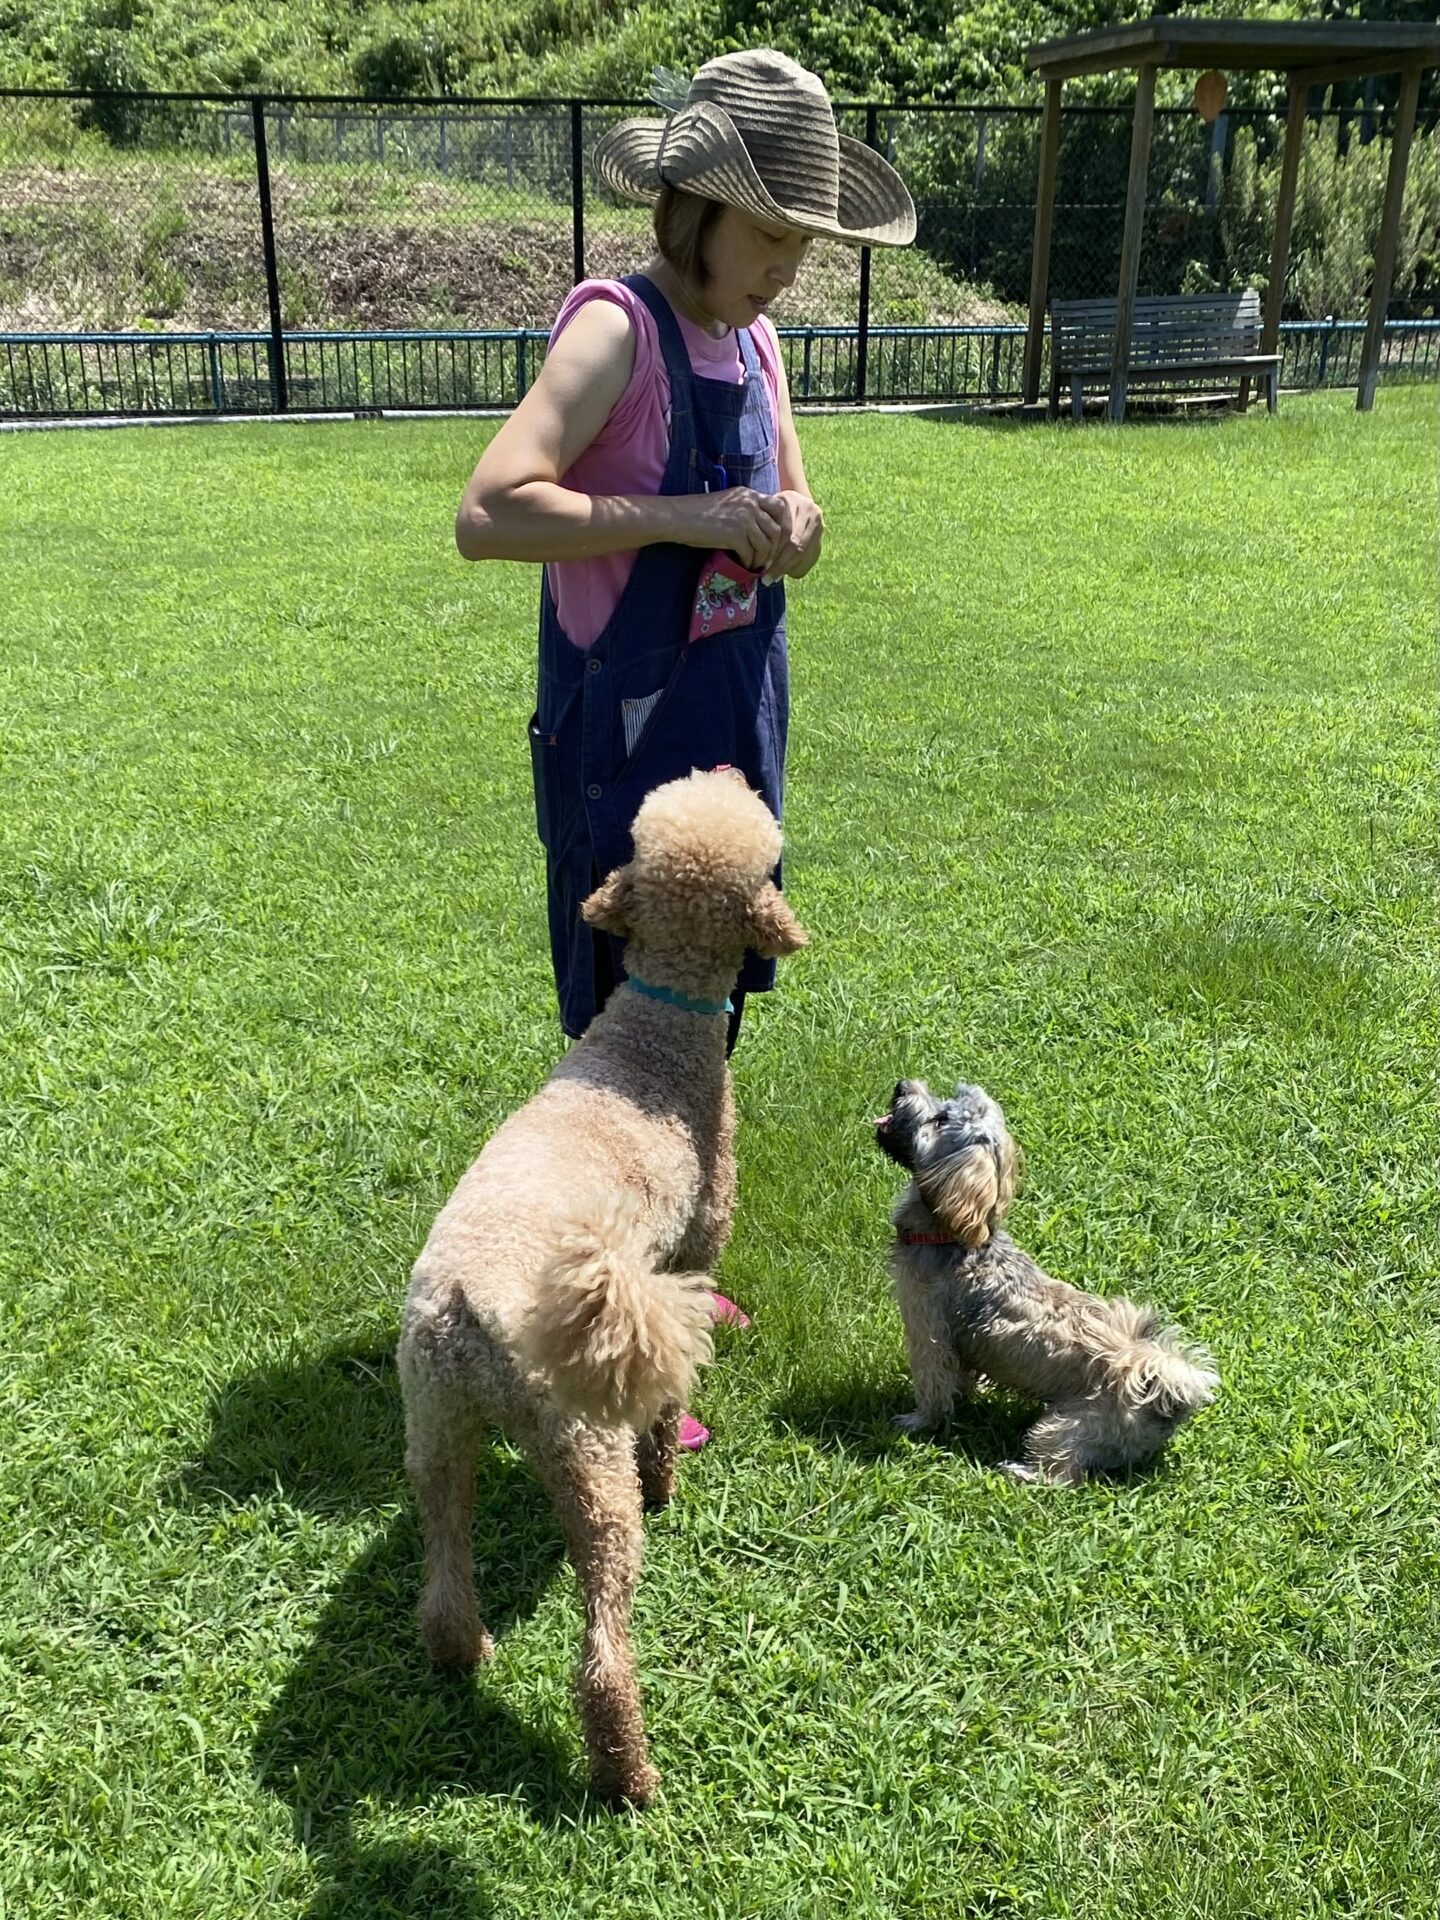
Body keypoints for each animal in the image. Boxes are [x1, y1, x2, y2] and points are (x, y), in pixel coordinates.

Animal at [398, 769, 806, 1805]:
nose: (737, 771)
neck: (652, 1034)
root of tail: (468, 1309)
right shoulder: (686, 1263)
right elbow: (666, 1406)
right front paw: (672, 1475)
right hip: (587, 1457)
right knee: (603, 1644)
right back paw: (628, 1772)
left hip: (434, 1431)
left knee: (445, 1564)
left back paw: (461, 1651)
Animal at [875, 1079, 1217, 1485]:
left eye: (940, 1119)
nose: (902, 1085)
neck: (953, 1237)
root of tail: (1162, 1395)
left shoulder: (929, 1334)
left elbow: (934, 1387)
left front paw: (918, 1422)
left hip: (1063, 1426)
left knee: (1064, 1474)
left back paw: (1019, 1471)